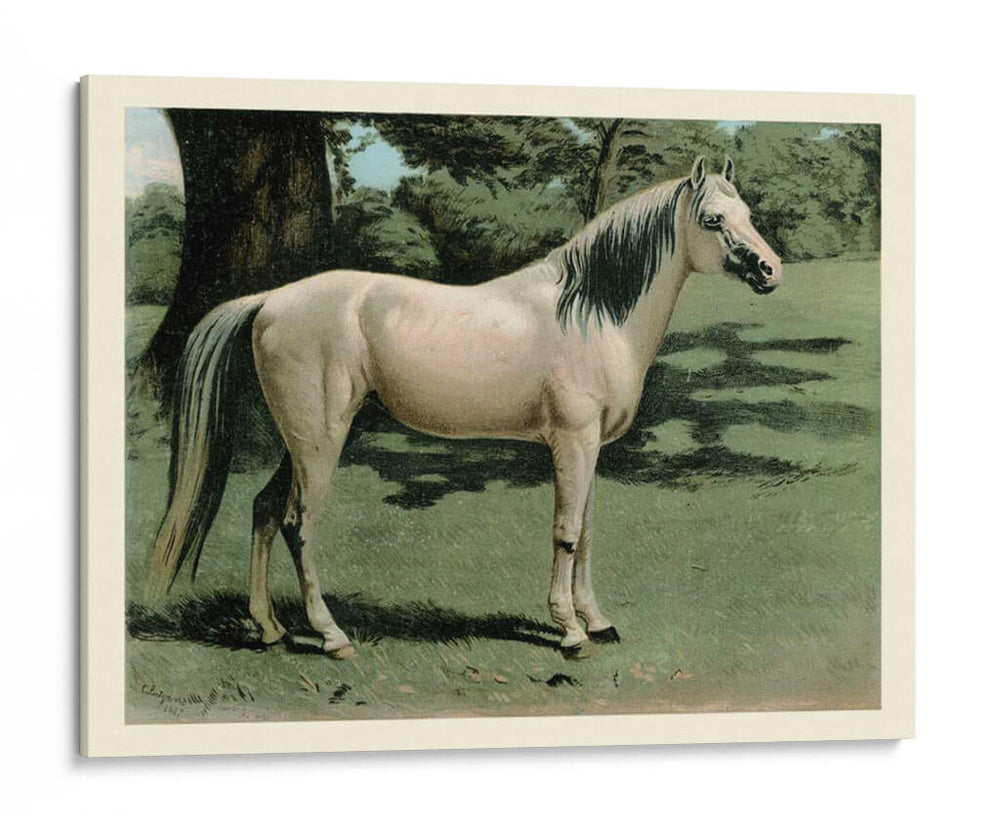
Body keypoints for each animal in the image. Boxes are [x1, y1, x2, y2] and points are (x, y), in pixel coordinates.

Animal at [145, 156, 783, 660]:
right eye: (713, 220)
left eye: (748, 212)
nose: (770, 269)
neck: (590, 312)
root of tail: (270, 301)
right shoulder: (572, 441)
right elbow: (565, 533)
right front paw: (570, 631)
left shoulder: (593, 447)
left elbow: (587, 531)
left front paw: (598, 621)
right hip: (320, 443)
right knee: (298, 526)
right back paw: (331, 636)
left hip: (302, 443)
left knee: (263, 510)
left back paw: (270, 628)